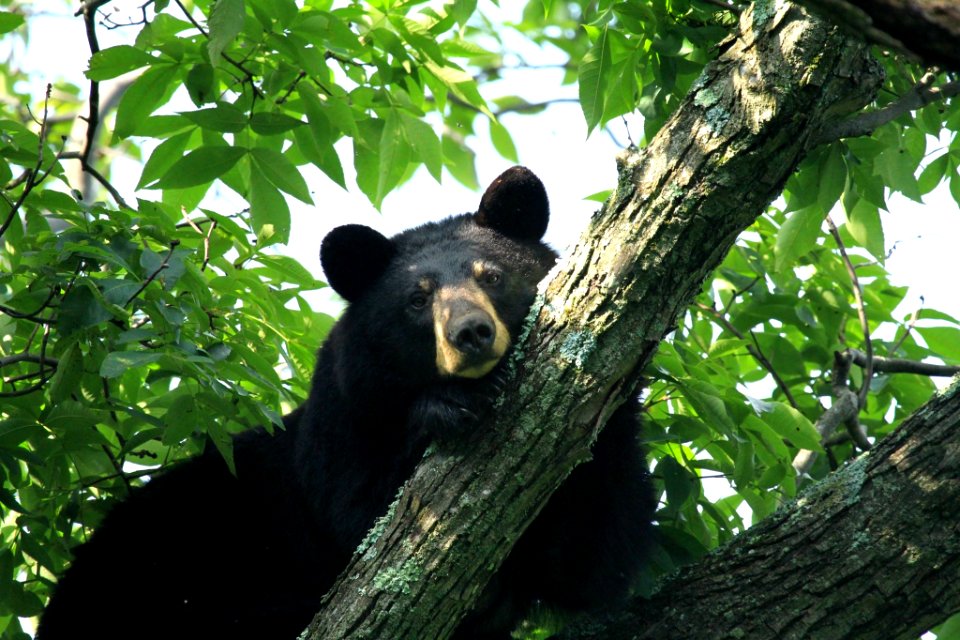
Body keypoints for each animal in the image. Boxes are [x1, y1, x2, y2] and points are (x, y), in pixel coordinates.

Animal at [35, 168, 652, 640]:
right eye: (416, 299)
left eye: (493, 275)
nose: (471, 334)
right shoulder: (339, 425)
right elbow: (364, 521)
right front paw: (442, 410)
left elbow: (590, 557)